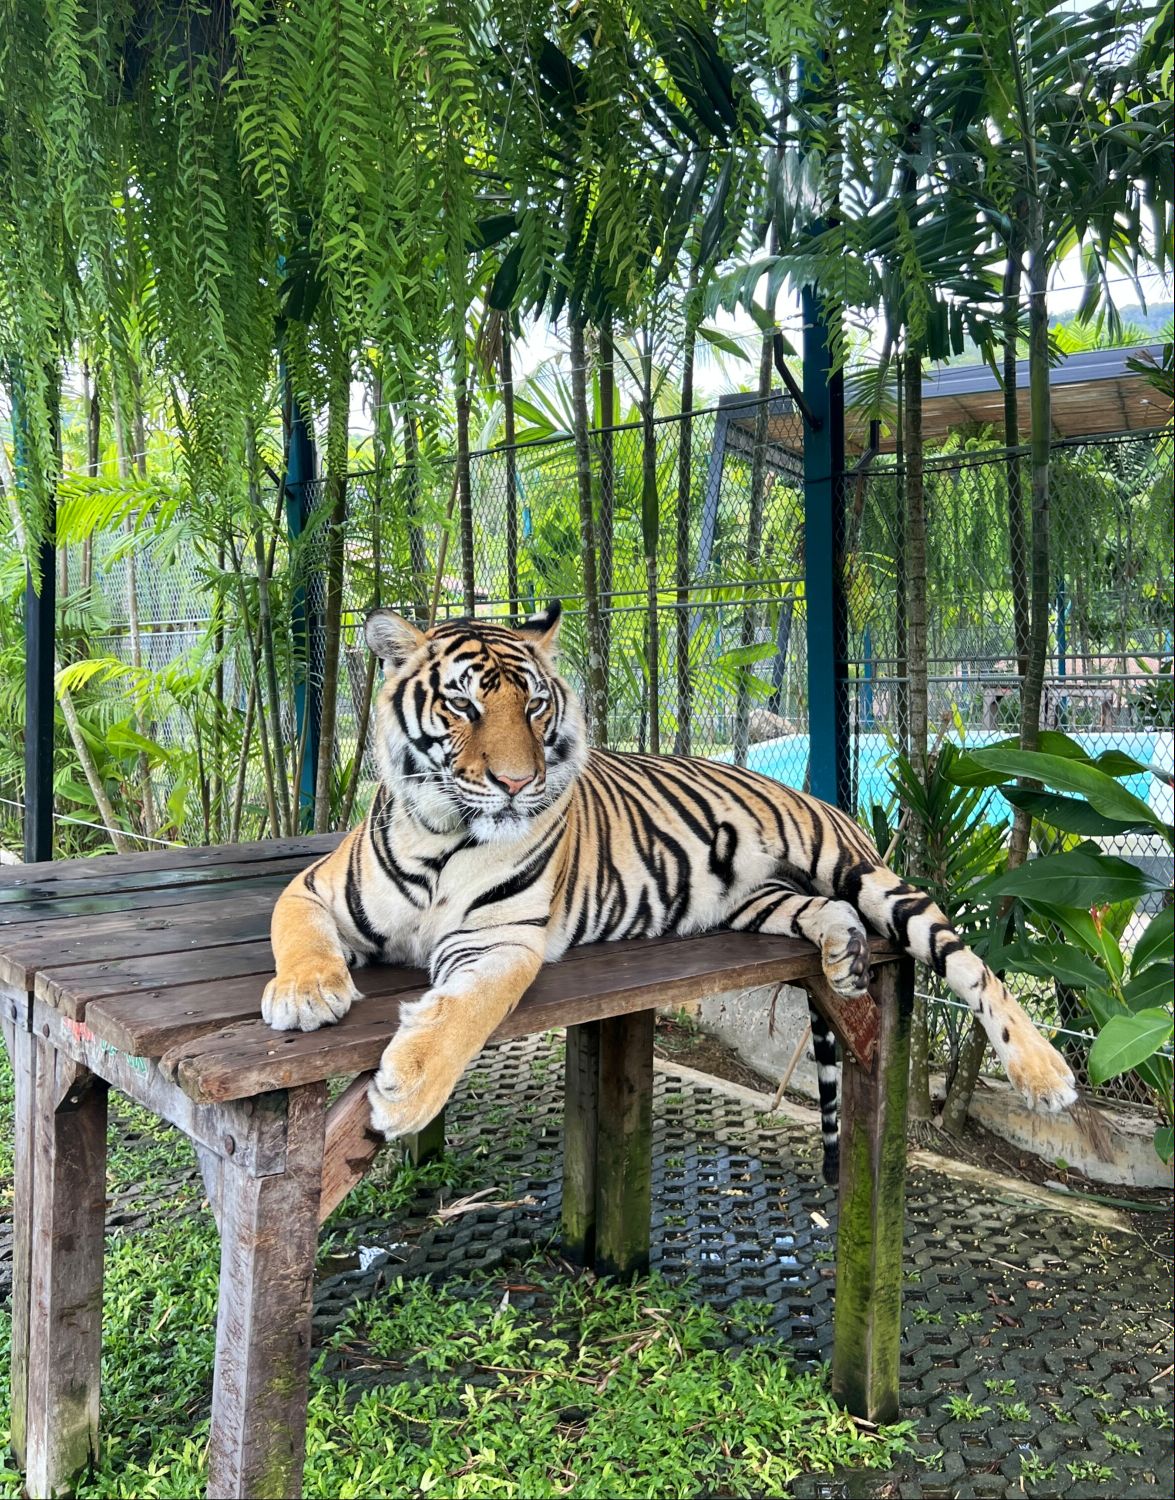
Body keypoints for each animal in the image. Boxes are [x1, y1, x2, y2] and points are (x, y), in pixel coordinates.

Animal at [262, 601, 1077, 1183]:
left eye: (533, 706)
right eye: (462, 705)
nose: (519, 783)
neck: (441, 834)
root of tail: (817, 796)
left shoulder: (500, 940)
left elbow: (463, 1012)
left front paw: (405, 1091)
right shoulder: (313, 888)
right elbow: (295, 932)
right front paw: (306, 993)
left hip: (860, 873)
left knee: (961, 957)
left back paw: (1046, 1074)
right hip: (758, 898)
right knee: (828, 913)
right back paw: (844, 954)